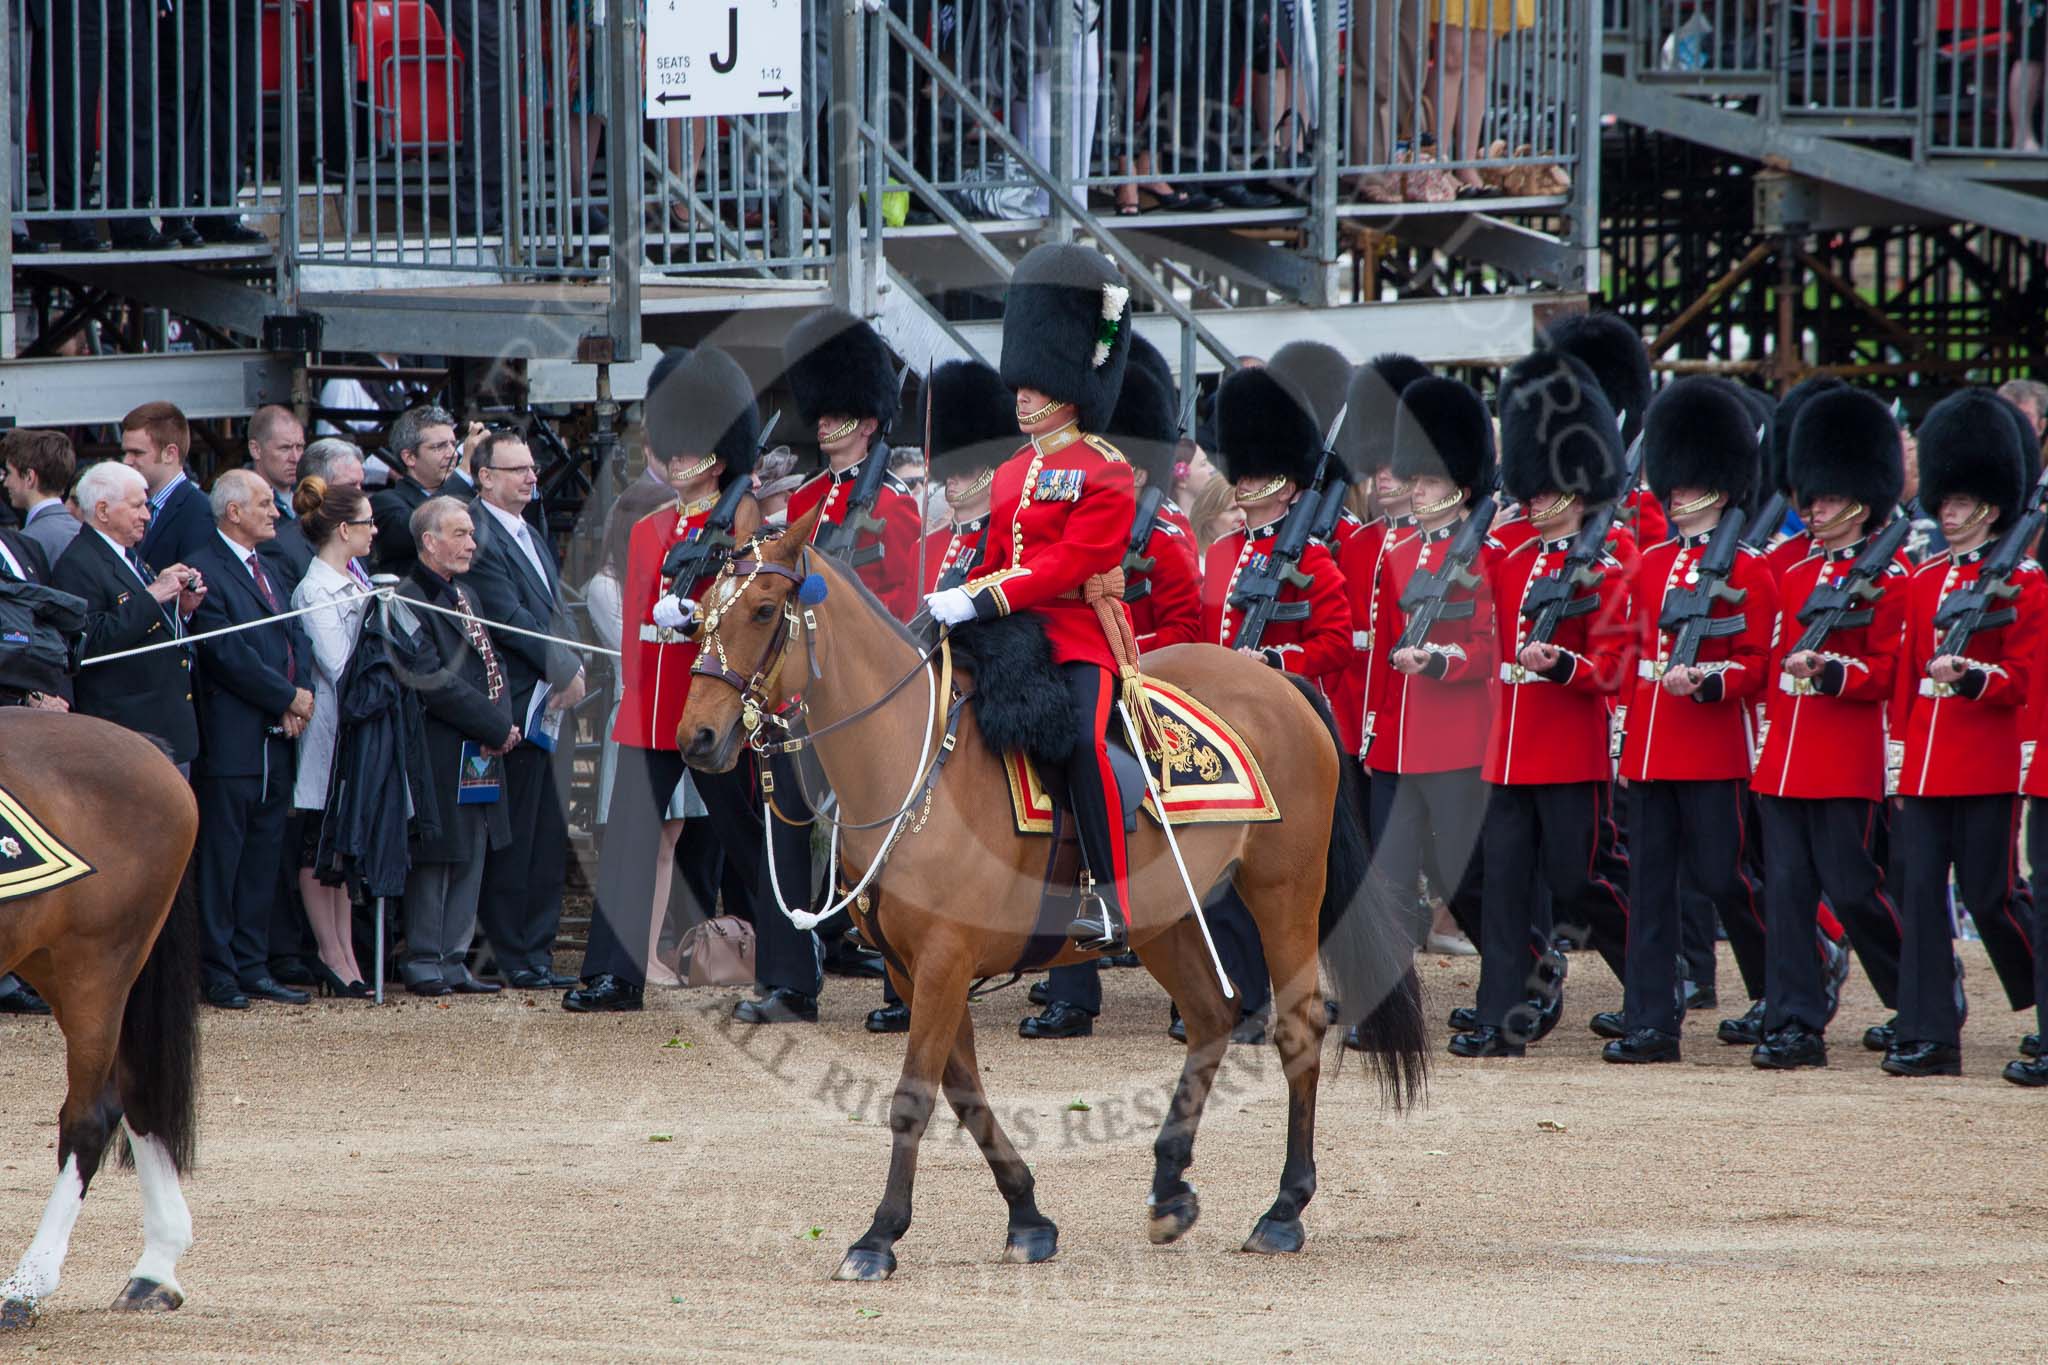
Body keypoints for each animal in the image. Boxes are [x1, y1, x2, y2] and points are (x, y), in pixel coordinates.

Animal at [0, 712, 201, 1326]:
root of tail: (149, 749)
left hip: (96, 968)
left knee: (93, 1114)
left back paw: (26, 1283)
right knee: (135, 1096)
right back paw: (154, 1270)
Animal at [671, 501, 1425, 1285]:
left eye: (763, 610)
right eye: (699, 614)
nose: (697, 738)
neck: (912, 757)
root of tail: (1279, 684)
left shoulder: (943, 960)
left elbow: (914, 1097)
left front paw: (877, 1237)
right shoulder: (914, 969)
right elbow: (964, 1092)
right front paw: (1028, 1216)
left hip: (1284, 889)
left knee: (1298, 1026)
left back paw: (1283, 1208)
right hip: (1163, 917)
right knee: (1212, 1016)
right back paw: (1170, 1185)